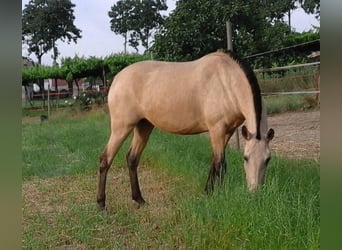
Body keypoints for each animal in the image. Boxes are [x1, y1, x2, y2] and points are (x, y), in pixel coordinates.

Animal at [96, 50, 276, 209]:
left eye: (268, 159)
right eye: (246, 158)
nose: (255, 192)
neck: (226, 81)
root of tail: (117, 79)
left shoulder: (227, 132)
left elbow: (213, 163)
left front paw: (207, 192)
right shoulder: (216, 130)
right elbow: (220, 164)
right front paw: (216, 197)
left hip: (143, 126)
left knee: (132, 159)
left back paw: (139, 199)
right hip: (121, 127)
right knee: (105, 159)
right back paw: (101, 204)